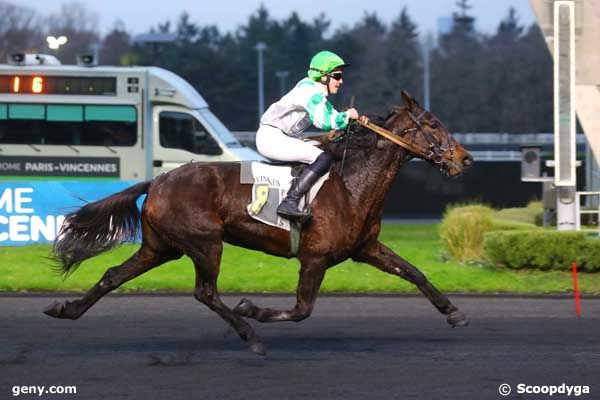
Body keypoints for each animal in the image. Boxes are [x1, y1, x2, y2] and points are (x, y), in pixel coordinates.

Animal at [44, 92, 474, 354]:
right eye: (432, 124)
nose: (465, 159)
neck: (351, 184)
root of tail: (159, 180)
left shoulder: (365, 248)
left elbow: (414, 272)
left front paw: (453, 311)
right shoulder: (315, 258)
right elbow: (301, 309)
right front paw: (253, 309)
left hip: (160, 247)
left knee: (113, 275)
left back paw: (67, 309)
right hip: (205, 243)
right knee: (205, 292)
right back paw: (249, 333)